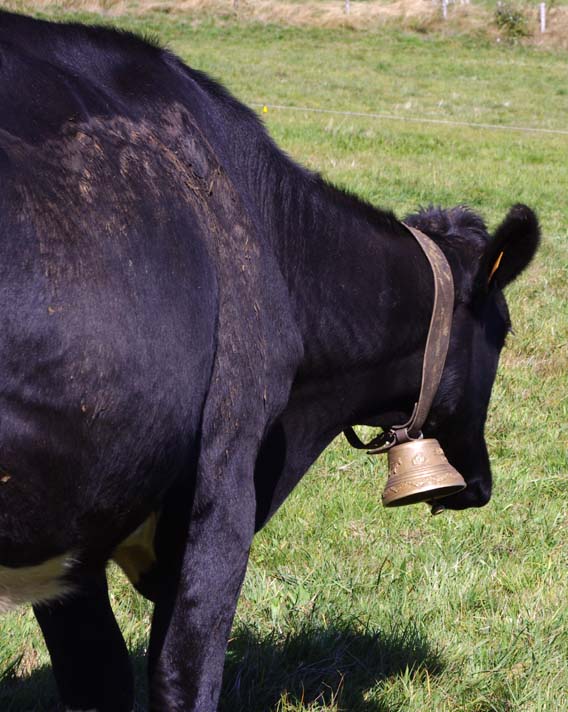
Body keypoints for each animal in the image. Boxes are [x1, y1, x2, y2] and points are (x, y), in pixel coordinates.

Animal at [0, 10, 540, 712]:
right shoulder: (223, 485)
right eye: (503, 330)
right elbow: (184, 676)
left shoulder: (84, 520)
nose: (477, 484)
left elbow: (98, 676)